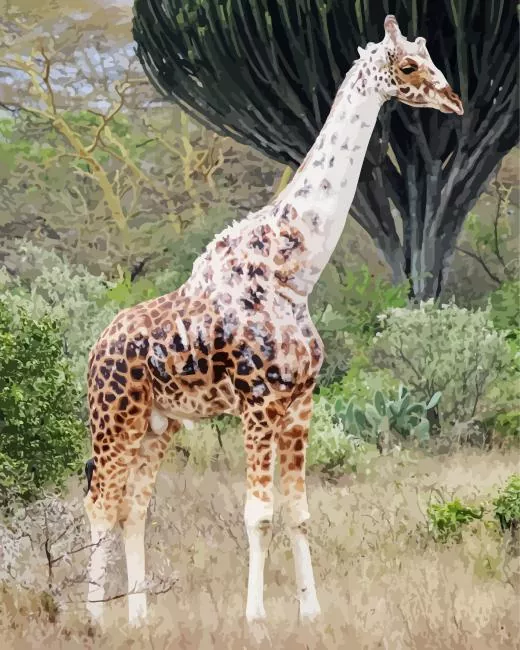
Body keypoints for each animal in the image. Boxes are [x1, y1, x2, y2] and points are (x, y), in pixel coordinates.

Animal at [84, 15, 463, 629]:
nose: (454, 99)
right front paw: (256, 616)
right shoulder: (258, 401)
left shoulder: (300, 404)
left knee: (134, 508)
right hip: (114, 419)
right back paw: (94, 617)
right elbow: (259, 513)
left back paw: (140, 618)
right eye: (408, 66)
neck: (294, 272)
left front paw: (311, 612)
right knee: (100, 503)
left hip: (159, 424)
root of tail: (95, 350)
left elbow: (299, 512)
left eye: (431, 59)